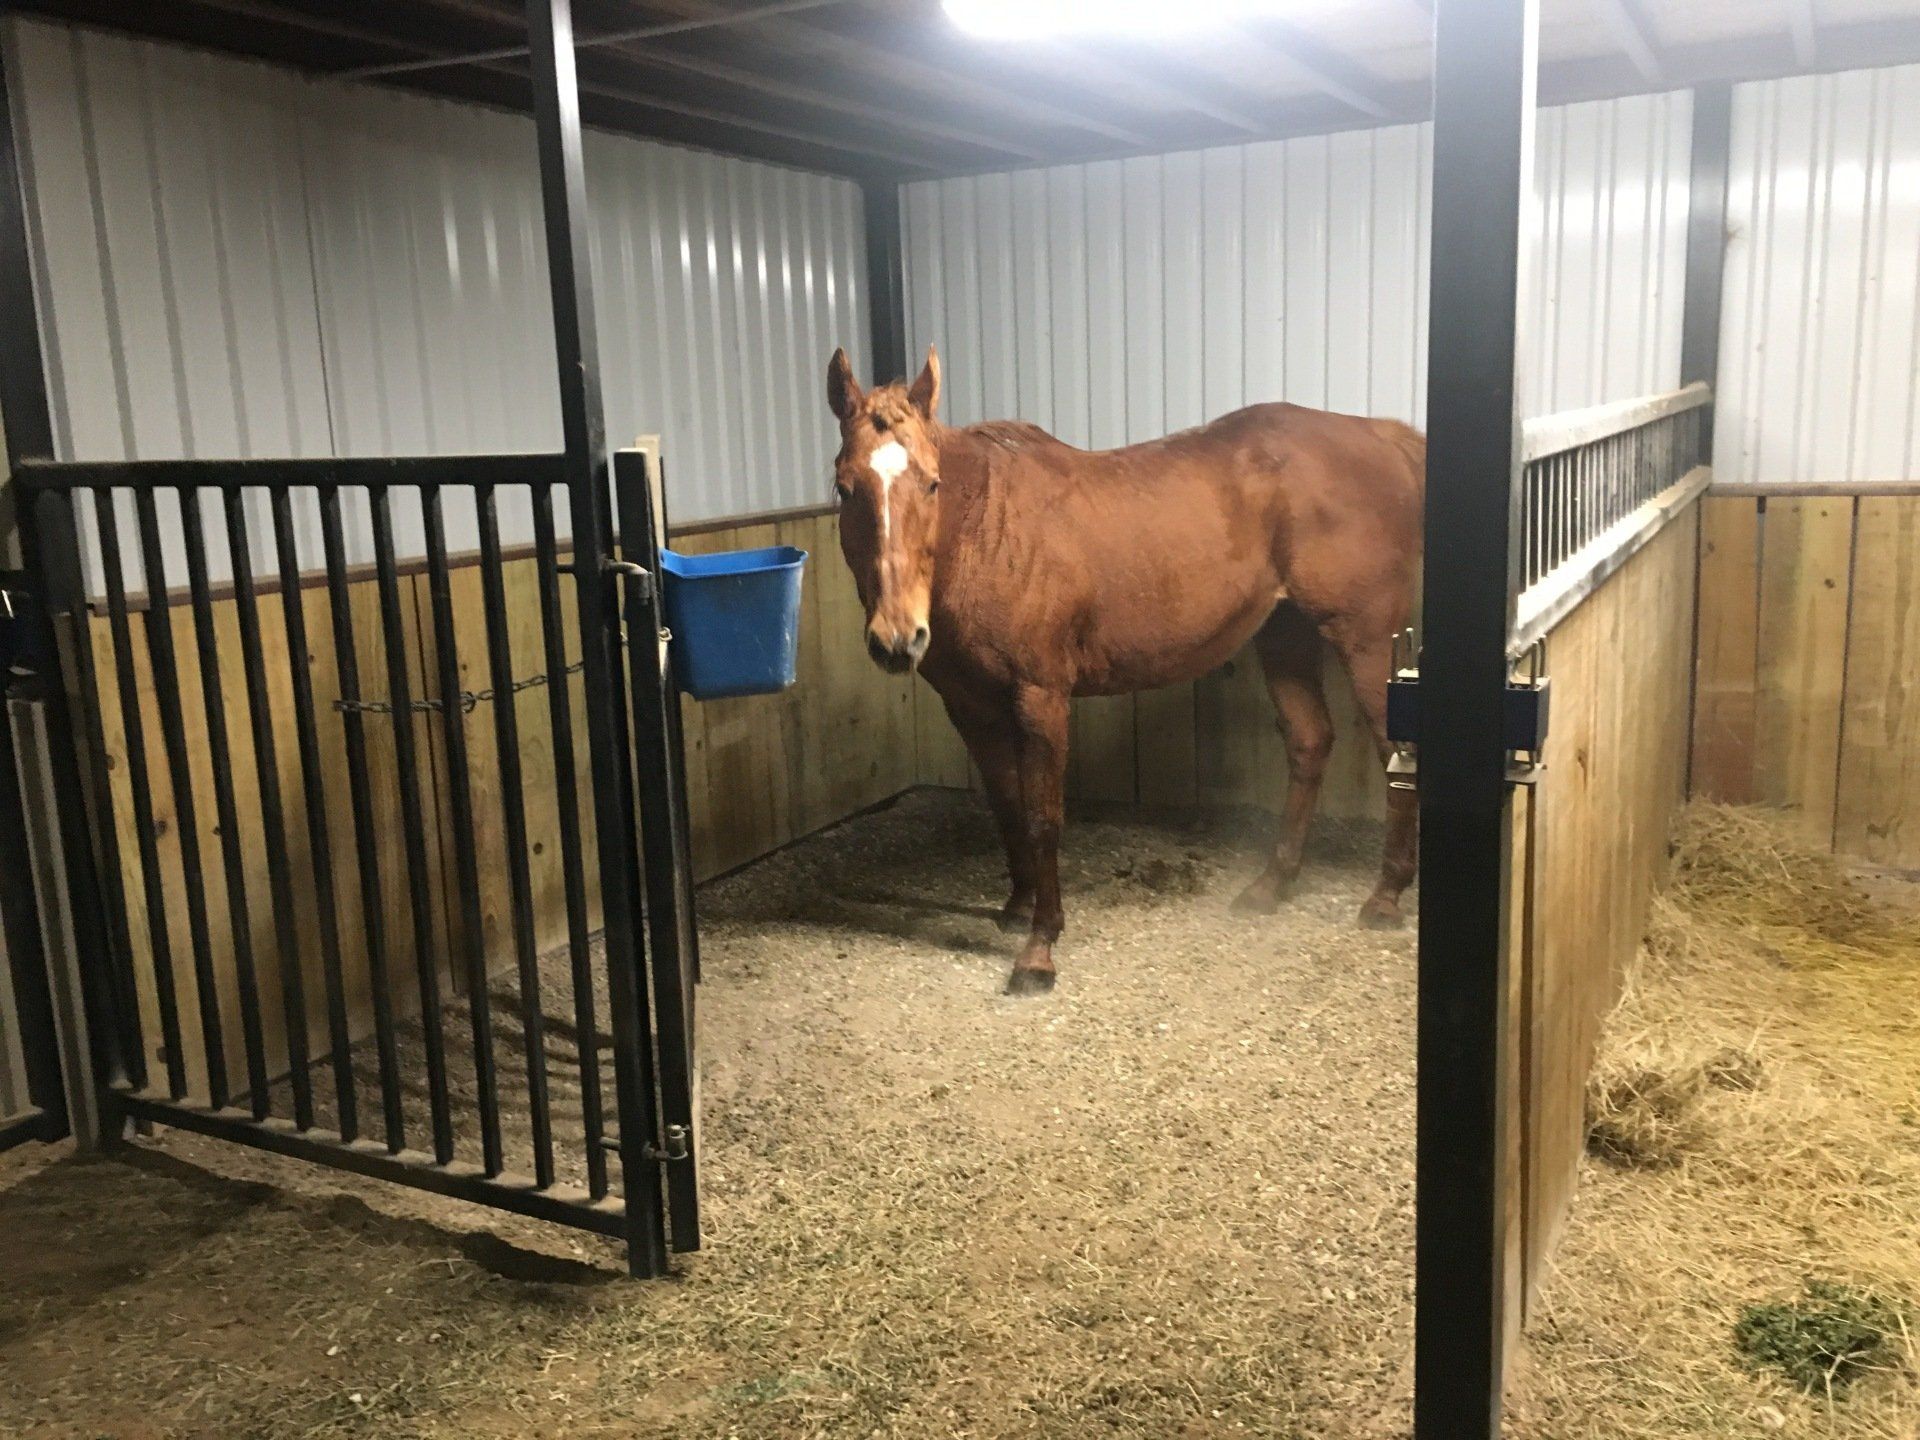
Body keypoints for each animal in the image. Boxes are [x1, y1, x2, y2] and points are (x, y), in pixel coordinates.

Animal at [826, 345, 1424, 996]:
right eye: (844, 489)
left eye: (933, 484)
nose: (897, 637)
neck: (990, 532)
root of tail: (1381, 435)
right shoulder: (971, 706)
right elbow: (1007, 803)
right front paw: (1018, 905)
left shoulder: (1041, 697)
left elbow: (1043, 817)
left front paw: (1040, 947)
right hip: (1284, 636)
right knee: (1310, 743)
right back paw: (1273, 883)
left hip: (1367, 642)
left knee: (1396, 752)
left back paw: (1386, 896)